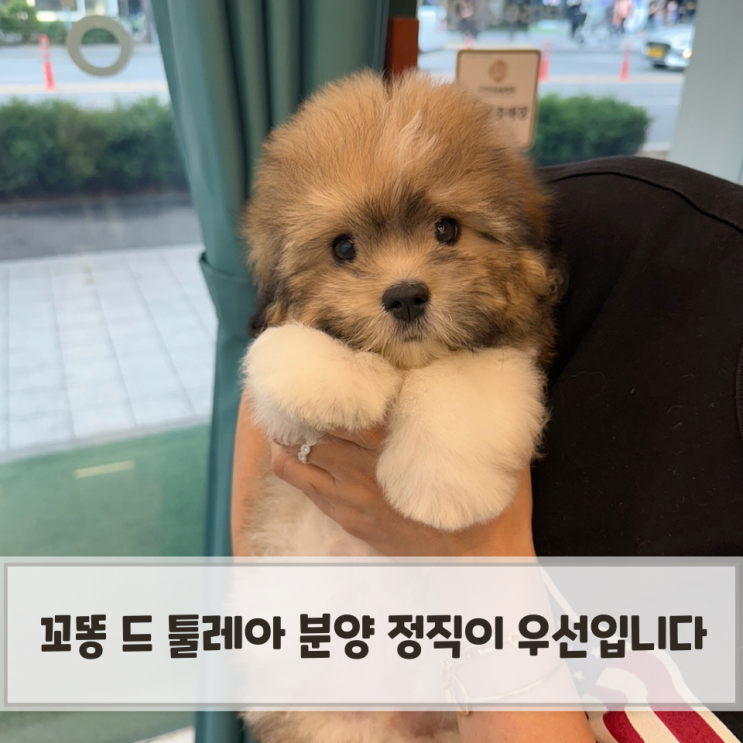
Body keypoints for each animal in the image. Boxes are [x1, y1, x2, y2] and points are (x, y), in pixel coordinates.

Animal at [238, 70, 559, 743]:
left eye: (447, 229)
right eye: (343, 248)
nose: (406, 295)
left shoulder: (508, 353)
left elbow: (464, 379)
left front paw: (441, 488)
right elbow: (286, 356)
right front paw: (340, 380)